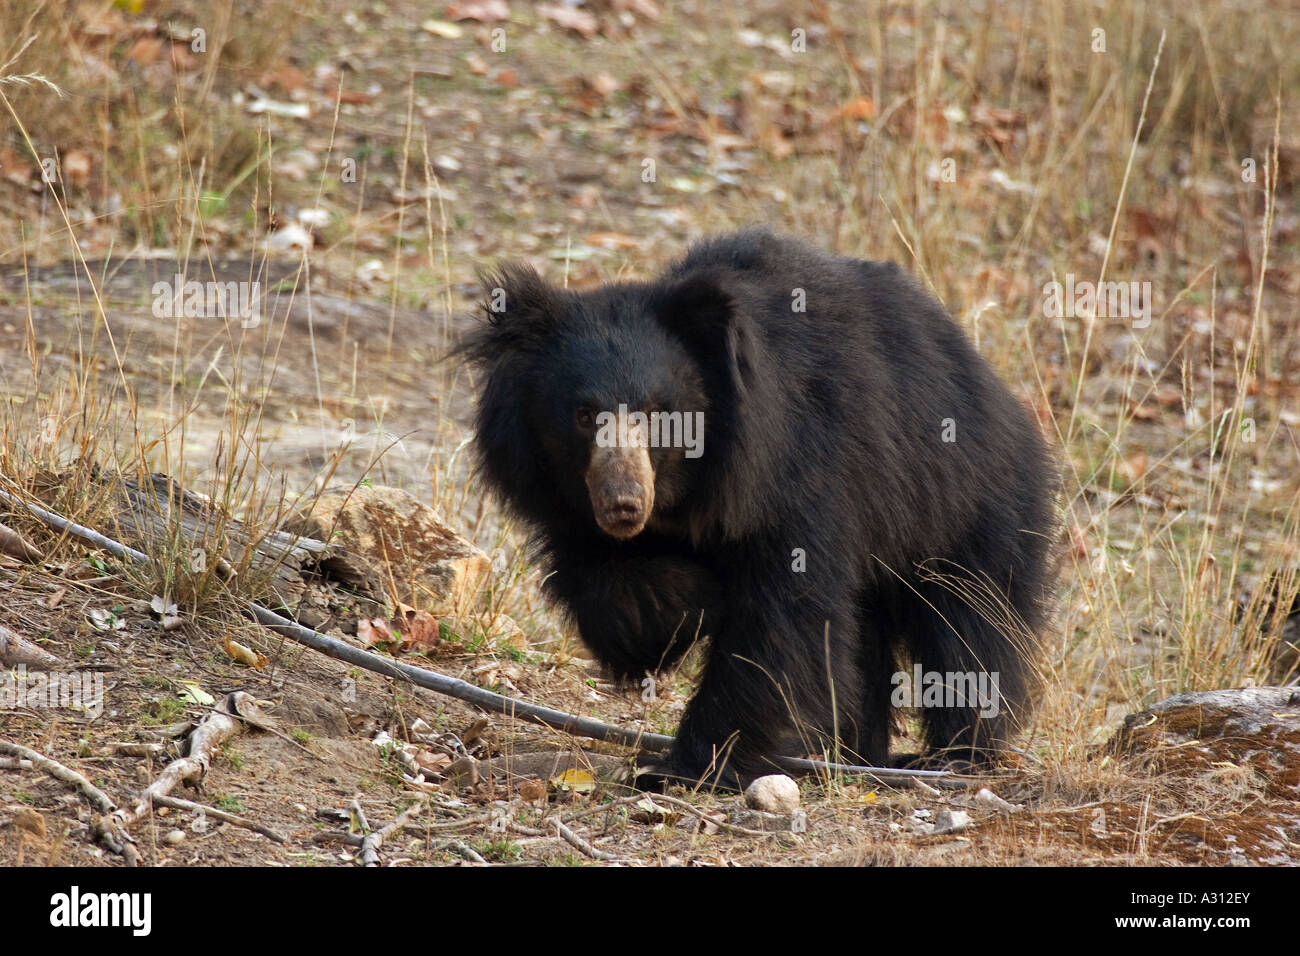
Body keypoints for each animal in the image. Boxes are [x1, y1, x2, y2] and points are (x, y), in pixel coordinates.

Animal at [457, 227, 1055, 790]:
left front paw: (689, 767)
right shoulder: (564, 503)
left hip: (969, 504)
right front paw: (690, 599)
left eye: (656, 413)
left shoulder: (800, 470)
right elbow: (617, 602)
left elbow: (782, 621)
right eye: (583, 415)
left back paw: (952, 756)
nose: (623, 504)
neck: (685, 490)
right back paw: (853, 752)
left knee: (970, 625)